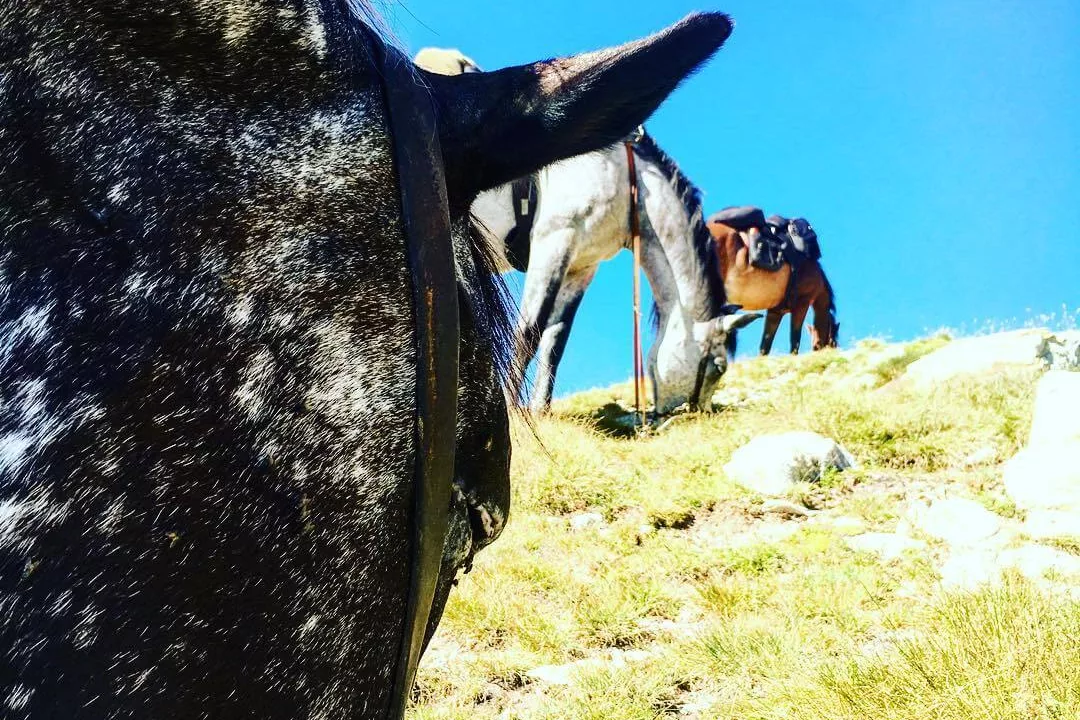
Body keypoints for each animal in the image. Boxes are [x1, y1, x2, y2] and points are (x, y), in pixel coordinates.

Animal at [0, 2, 734, 716]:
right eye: (476, 526)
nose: (686, 417)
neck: (623, 175)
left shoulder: (580, 261)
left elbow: (552, 340)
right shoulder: (558, 241)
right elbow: (533, 335)